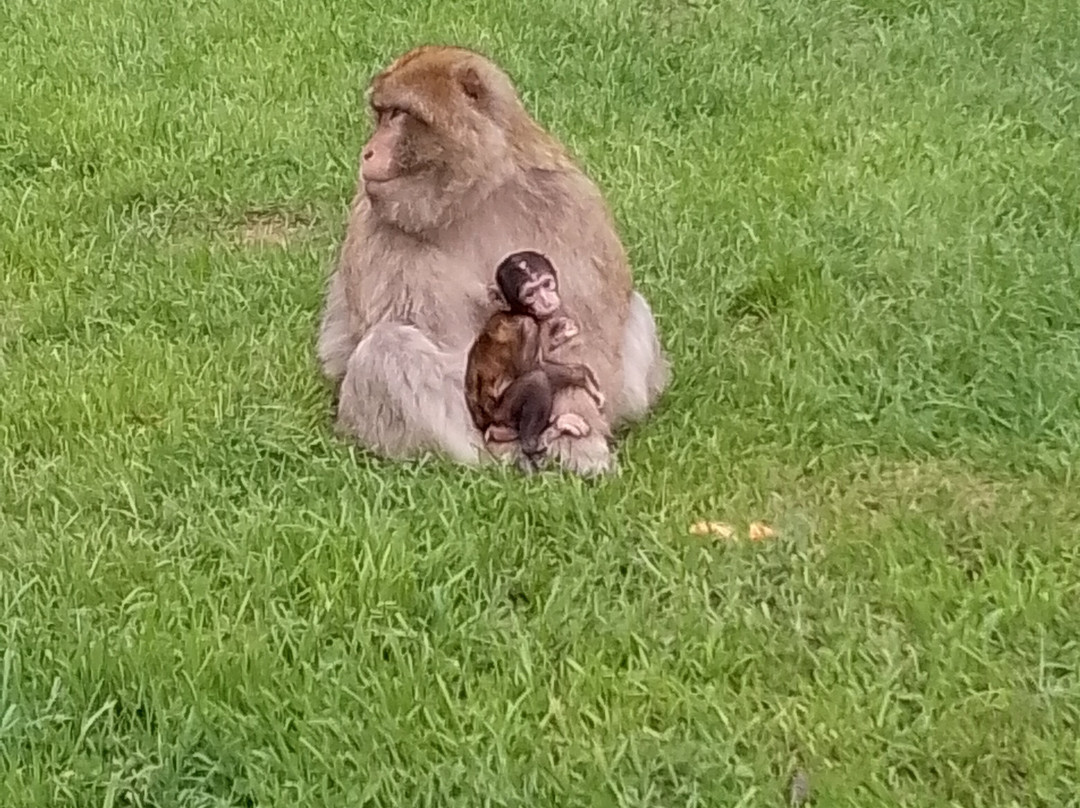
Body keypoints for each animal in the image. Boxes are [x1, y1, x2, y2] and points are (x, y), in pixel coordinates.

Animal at [465, 250, 605, 469]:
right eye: (530, 294)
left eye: (546, 284)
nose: (546, 300)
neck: (516, 312)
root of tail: (488, 428)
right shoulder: (527, 327)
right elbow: (532, 367)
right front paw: (583, 375)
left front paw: (559, 332)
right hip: (503, 415)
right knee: (536, 380)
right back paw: (534, 442)